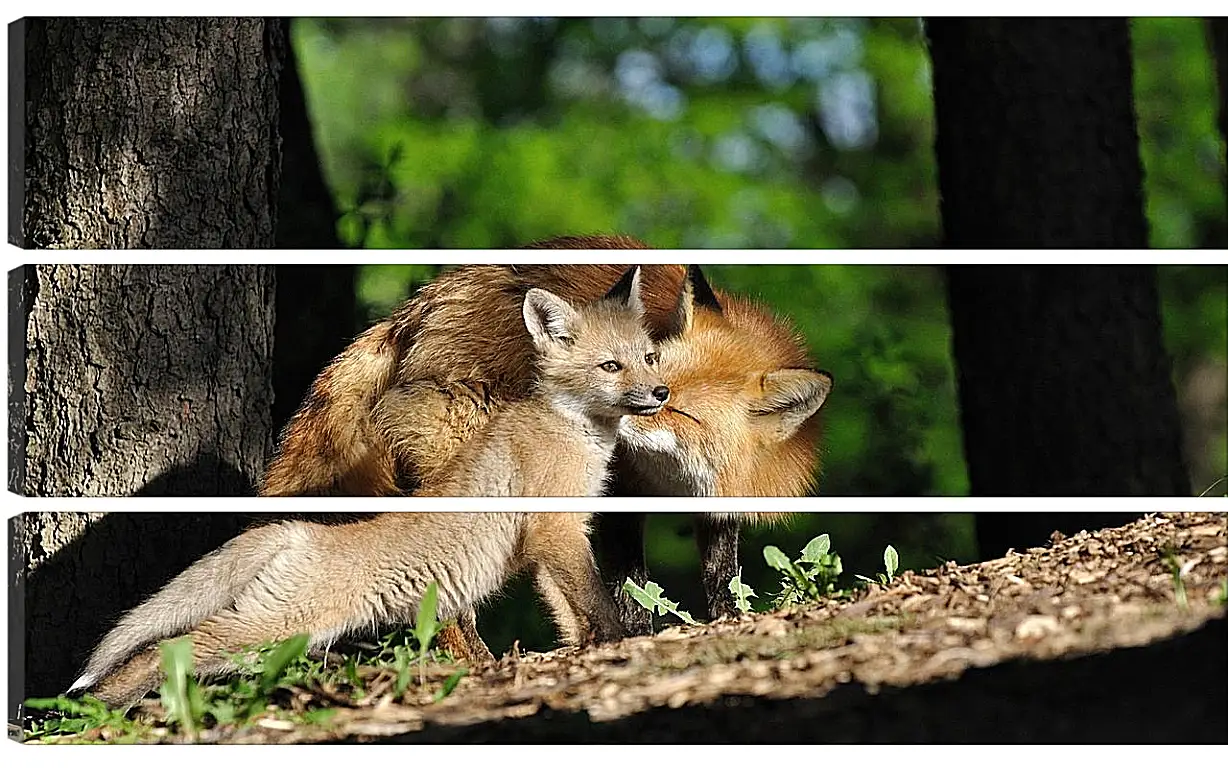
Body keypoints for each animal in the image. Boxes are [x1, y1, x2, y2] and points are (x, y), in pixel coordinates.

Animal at [261, 238, 835, 629]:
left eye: (683, 412)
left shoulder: (718, 504)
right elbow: (630, 587)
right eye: (653, 373)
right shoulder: (619, 493)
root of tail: (426, 299)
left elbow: (722, 579)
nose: (625, 412)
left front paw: (727, 621)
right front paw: (636, 634)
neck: (673, 482)